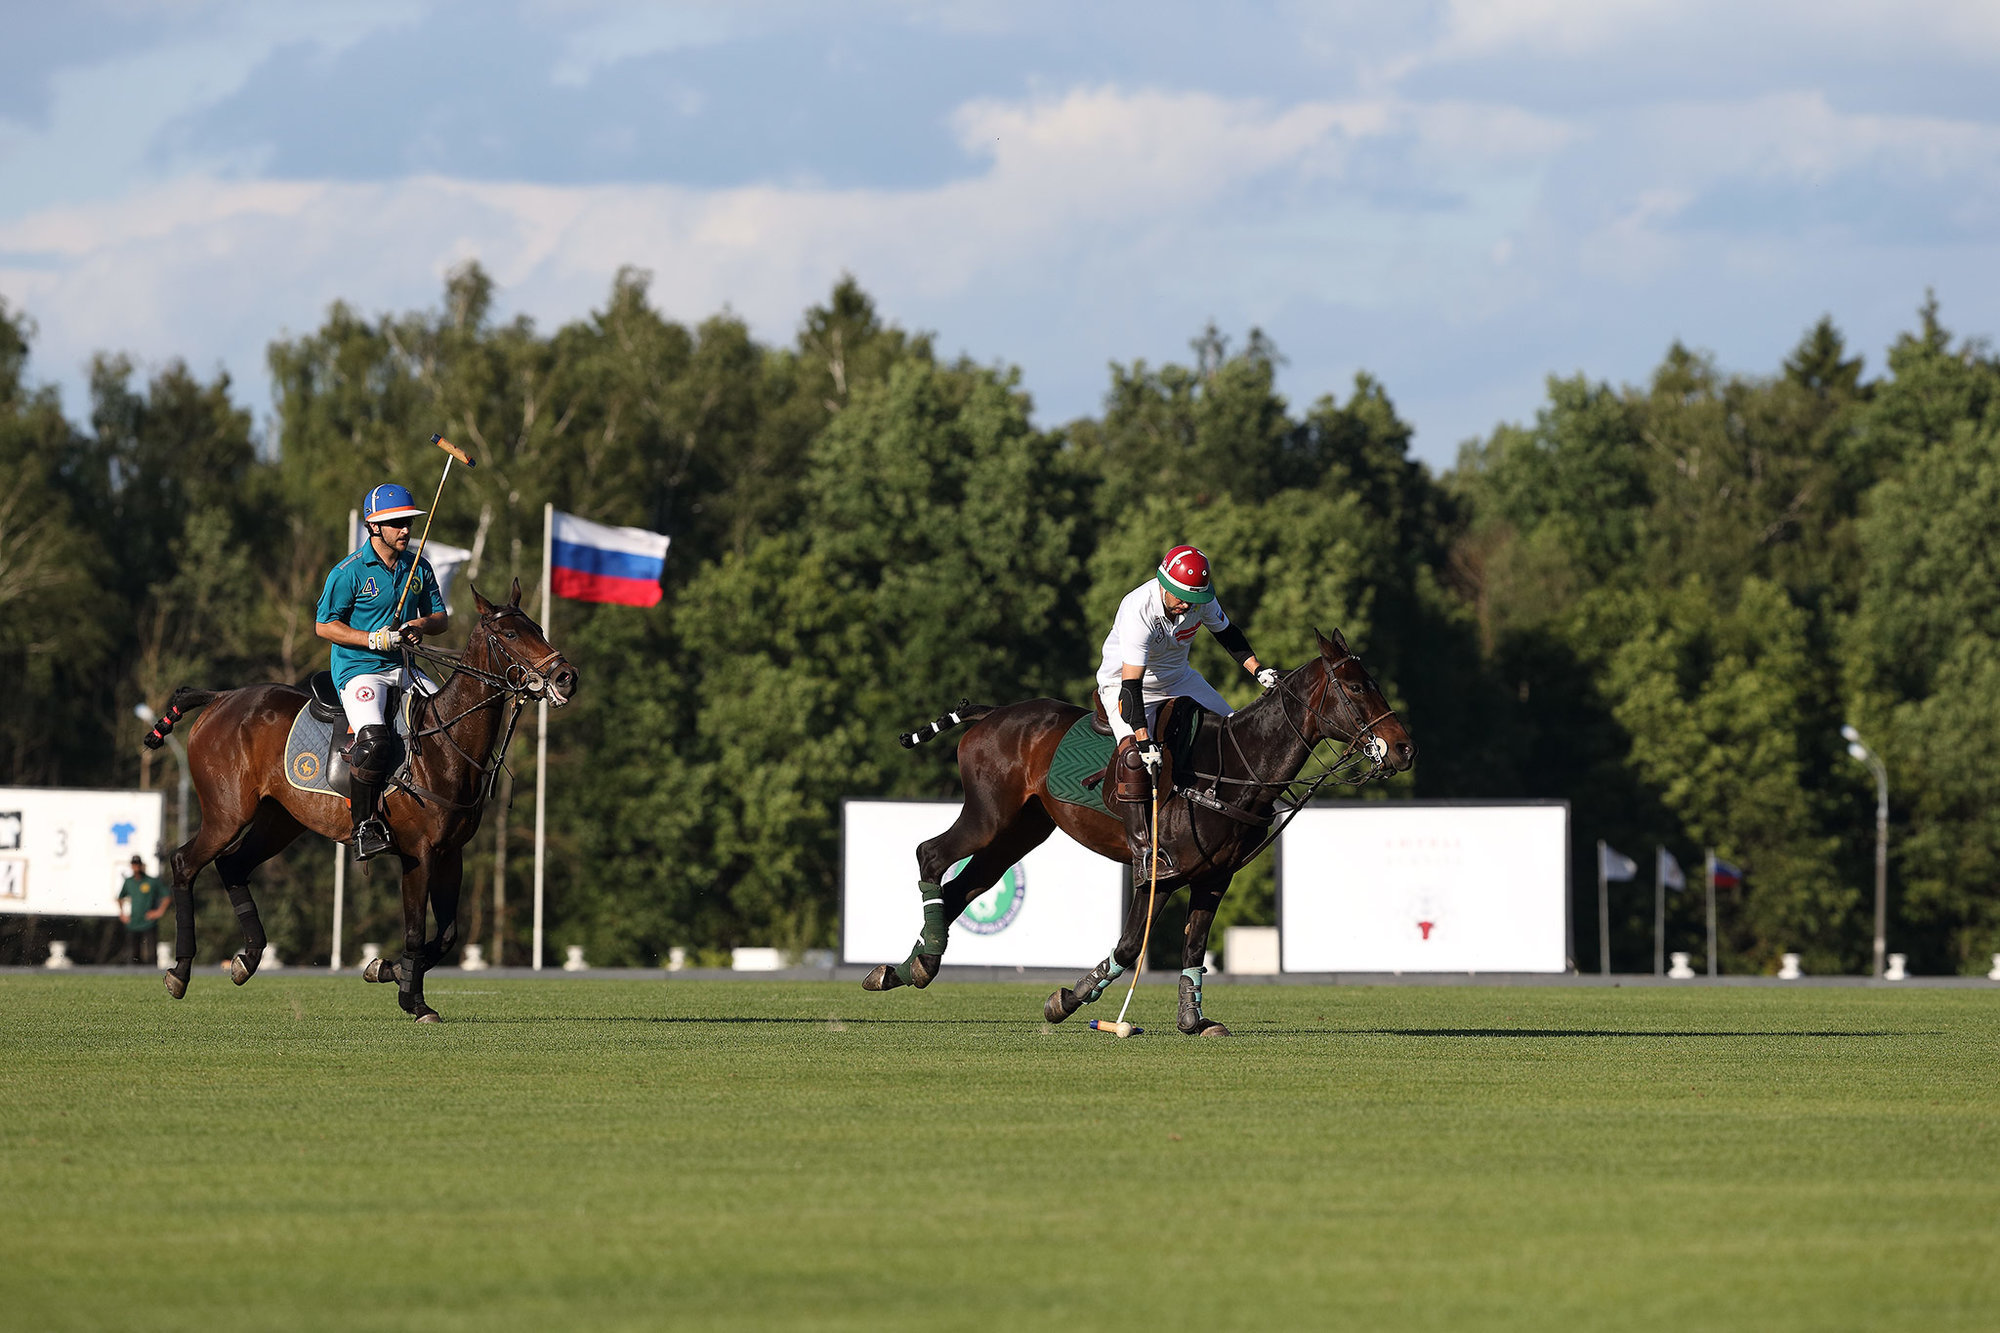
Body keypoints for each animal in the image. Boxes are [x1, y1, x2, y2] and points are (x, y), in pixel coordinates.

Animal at [142, 580, 576, 1016]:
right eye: (510, 635)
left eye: (538, 627)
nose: (566, 677)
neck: (445, 744)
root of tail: (220, 697)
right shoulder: (418, 853)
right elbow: (416, 931)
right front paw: (414, 1001)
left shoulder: (451, 852)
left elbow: (448, 933)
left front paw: (387, 969)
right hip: (226, 812)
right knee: (184, 863)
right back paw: (180, 971)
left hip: (279, 820)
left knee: (233, 866)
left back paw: (246, 960)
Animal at [860, 628, 1408, 1032]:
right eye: (1356, 687)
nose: (1403, 749)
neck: (1233, 768)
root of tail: (992, 714)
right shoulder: (1159, 873)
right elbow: (1128, 946)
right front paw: (1067, 1000)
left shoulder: (1215, 876)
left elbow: (1194, 945)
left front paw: (1194, 1020)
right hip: (988, 815)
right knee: (931, 855)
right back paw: (921, 963)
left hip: (1022, 830)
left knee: (964, 887)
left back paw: (903, 969)